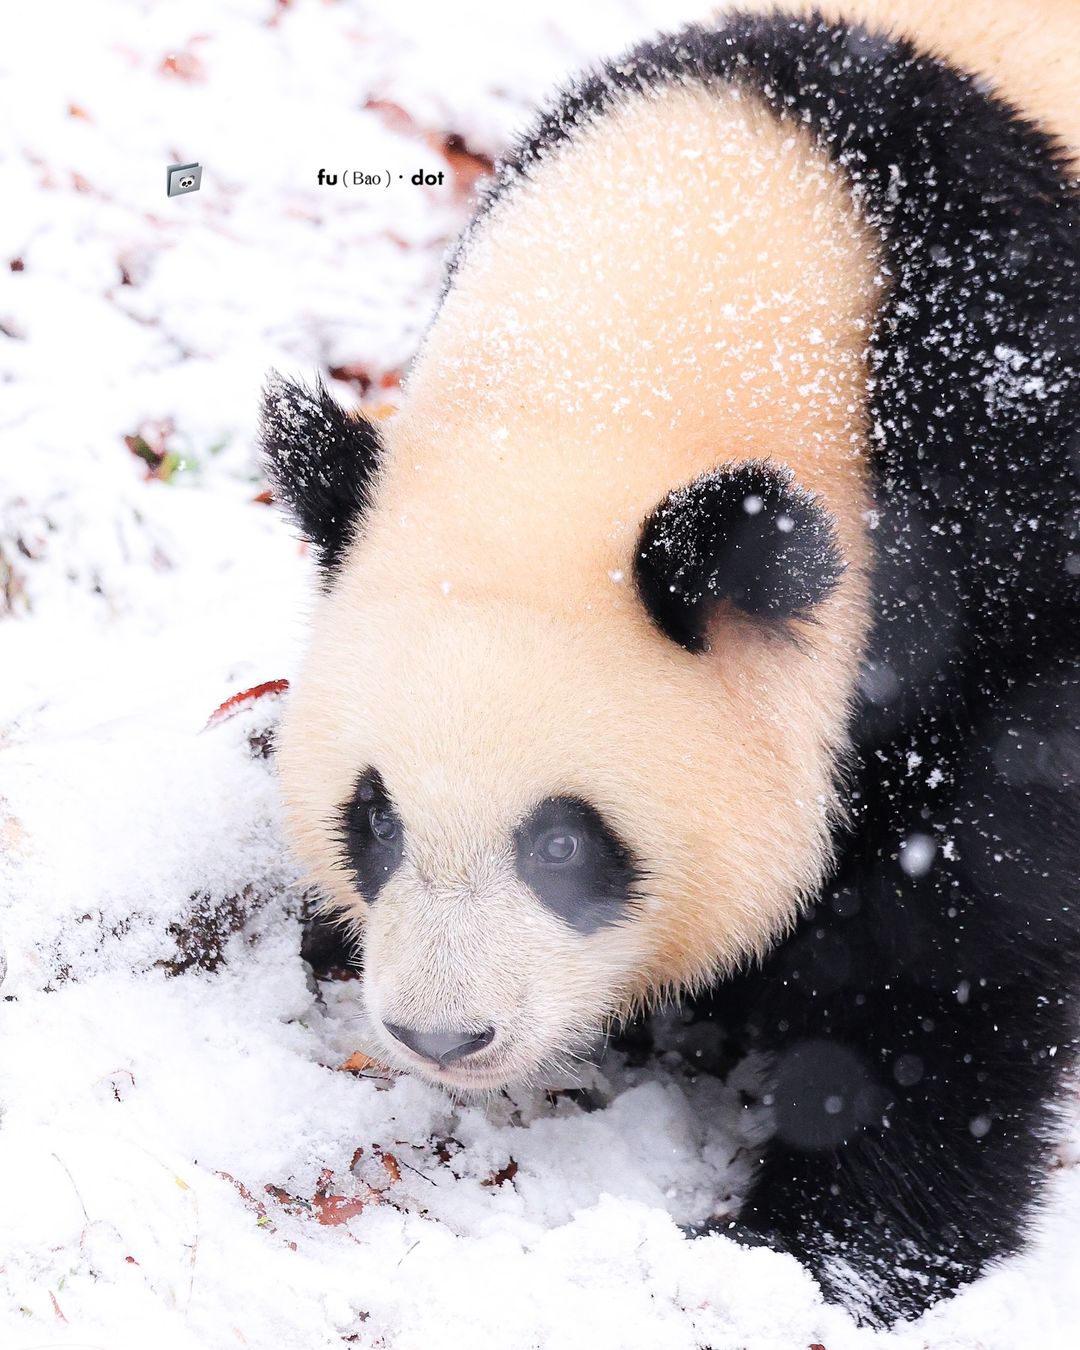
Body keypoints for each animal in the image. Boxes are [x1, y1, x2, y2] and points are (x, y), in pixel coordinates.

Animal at [261, 2, 1080, 1328]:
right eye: (372, 817)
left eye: (562, 844)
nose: (443, 1036)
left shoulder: (1004, 470)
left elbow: (967, 926)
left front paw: (827, 1251)